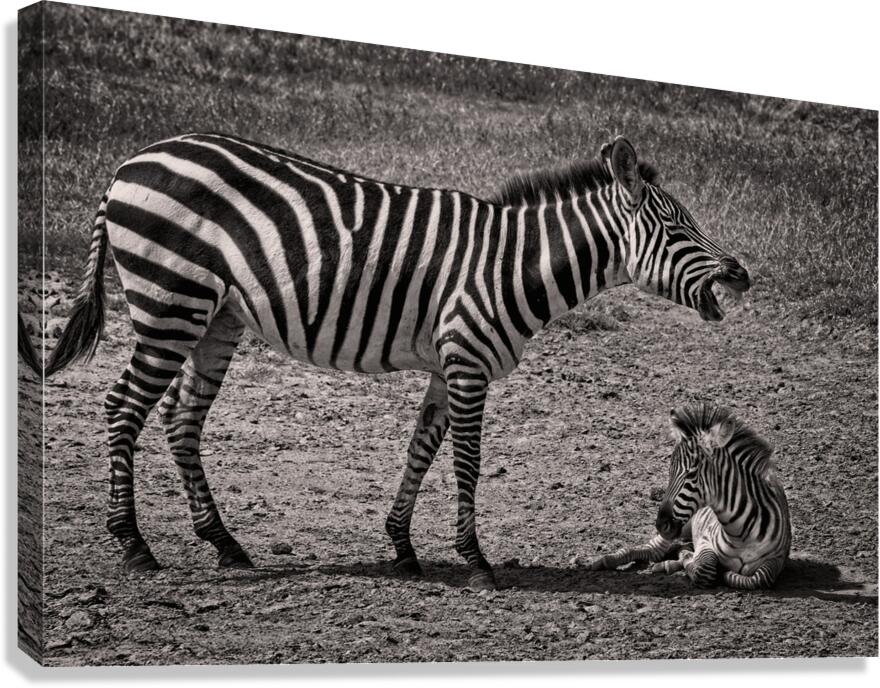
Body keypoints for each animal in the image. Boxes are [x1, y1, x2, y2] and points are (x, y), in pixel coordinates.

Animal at [21, 133, 752, 590]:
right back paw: (132, 544)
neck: (512, 264)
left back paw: (224, 544)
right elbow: (466, 461)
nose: (742, 274)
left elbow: (420, 450)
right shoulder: (467, 360)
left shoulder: (446, 363)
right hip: (170, 301)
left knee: (181, 420)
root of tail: (131, 162)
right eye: (678, 228)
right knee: (123, 407)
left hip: (215, 318)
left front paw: (402, 547)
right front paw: (476, 560)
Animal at [583, 404, 791, 590]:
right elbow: (705, 569)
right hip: (683, 526)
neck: (739, 535)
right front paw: (689, 559)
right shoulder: (705, 540)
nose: (661, 524)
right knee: (652, 549)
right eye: (670, 472)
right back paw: (605, 560)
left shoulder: (777, 560)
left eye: (691, 473)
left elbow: (758, 578)